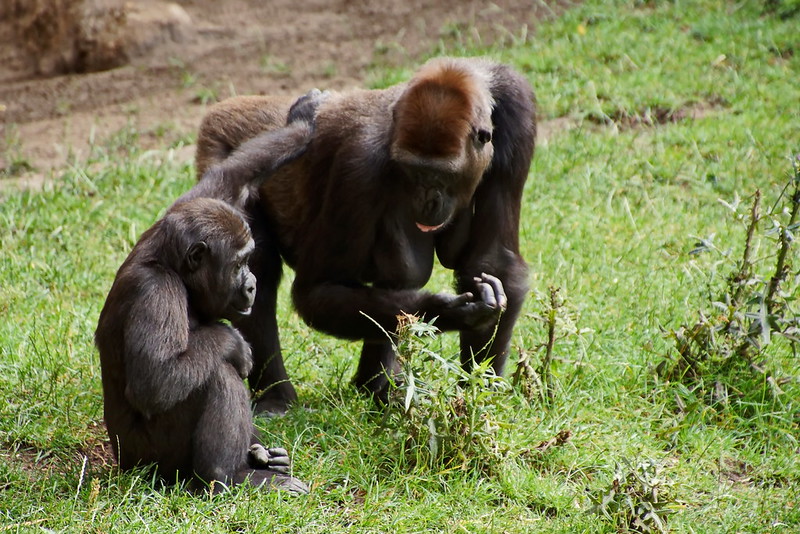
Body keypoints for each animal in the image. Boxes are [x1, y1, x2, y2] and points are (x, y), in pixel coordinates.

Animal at [95, 89, 326, 492]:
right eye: (237, 265)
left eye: (248, 260)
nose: (251, 284)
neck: (175, 269)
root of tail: (123, 464)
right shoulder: (155, 291)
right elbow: (155, 380)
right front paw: (231, 340)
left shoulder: (181, 209)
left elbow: (232, 177)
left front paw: (300, 123)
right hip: (153, 466)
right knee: (215, 373)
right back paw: (231, 474)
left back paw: (262, 459)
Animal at [195, 57, 536, 414]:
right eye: (415, 172)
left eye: (443, 175)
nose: (427, 201)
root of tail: (228, 106)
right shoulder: (360, 157)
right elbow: (320, 291)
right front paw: (448, 312)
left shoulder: (518, 104)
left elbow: (493, 262)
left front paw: (478, 391)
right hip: (220, 150)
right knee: (257, 270)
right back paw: (276, 395)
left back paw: (375, 388)